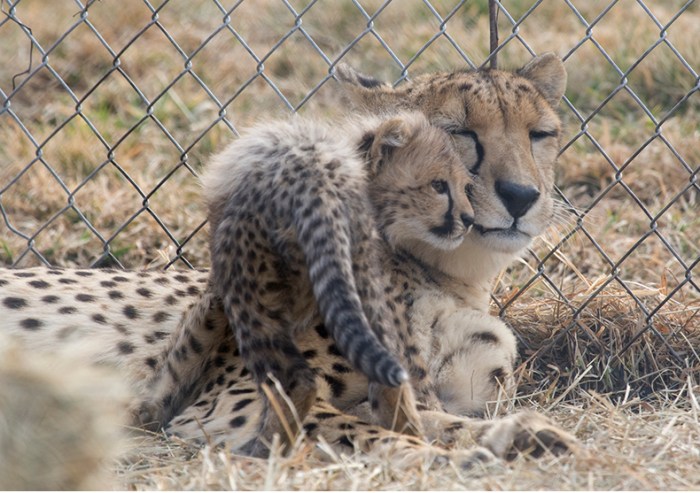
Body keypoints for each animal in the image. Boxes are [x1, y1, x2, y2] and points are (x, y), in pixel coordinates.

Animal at [0, 53, 577, 467]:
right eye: (460, 133)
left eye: (540, 135)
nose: (521, 195)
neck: (449, 277)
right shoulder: (226, 406)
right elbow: (366, 428)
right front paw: (449, 456)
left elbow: (426, 416)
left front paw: (521, 434)